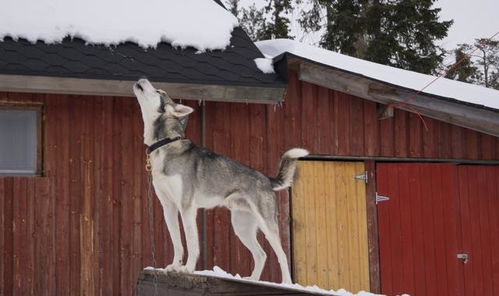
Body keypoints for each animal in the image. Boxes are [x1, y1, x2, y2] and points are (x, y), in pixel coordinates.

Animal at [133, 79, 308, 284]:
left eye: (159, 91)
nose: (142, 79)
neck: (164, 144)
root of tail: (267, 179)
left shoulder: (186, 207)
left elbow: (191, 242)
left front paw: (187, 269)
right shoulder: (168, 207)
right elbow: (177, 243)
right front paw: (174, 266)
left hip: (266, 224)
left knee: (281, 255)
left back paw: (286, 283)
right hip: (241, 226)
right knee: (261, 254)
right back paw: (252, 279)